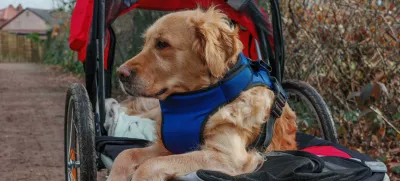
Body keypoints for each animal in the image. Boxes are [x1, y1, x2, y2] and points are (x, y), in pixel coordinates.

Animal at [108, 6, 298, 180]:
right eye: (145, 43)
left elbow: (149, 165)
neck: (195, 100)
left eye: (162, 44)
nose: (120, 74)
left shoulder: (229, 157)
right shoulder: (164, 147)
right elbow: (125, 154)